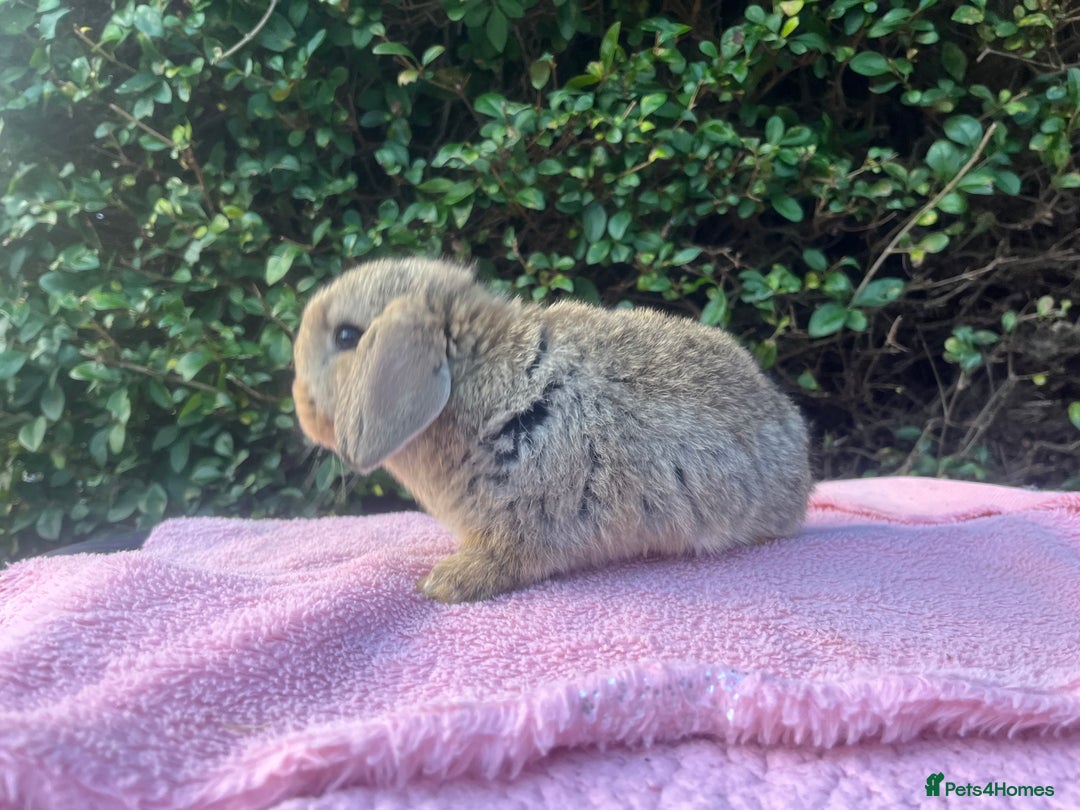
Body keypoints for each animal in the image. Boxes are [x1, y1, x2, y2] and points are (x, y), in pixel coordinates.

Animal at [292, 257, 812, 603]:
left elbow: (511, 557)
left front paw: (444, 582)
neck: (475, 377)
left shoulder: (524, 517)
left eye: (346, 336)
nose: (298, 405)